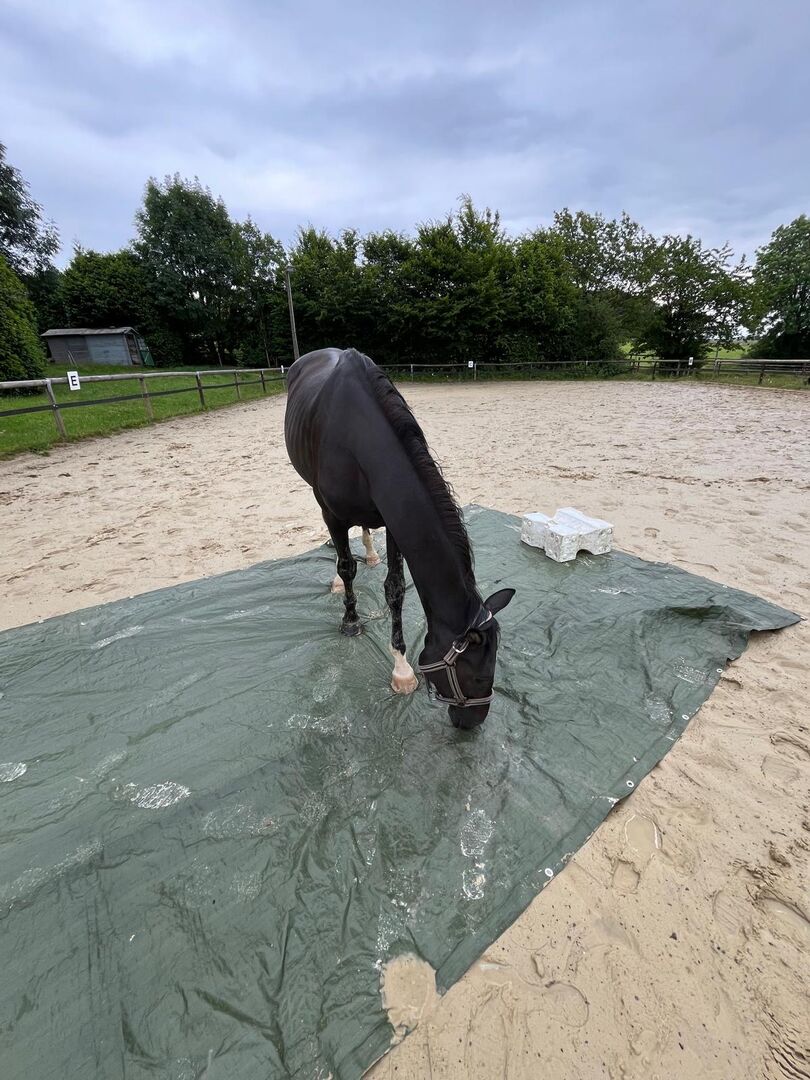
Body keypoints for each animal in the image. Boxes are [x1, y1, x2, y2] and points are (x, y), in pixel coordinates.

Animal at [284, 347, 514, 729]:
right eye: (479, 676)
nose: (472, 722)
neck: (357, 437)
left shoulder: (390, 521)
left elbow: (394, 588)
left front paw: (402, 669)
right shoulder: (332, 514)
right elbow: (346, 567)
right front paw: (351, 621)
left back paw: (370, 553)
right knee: (341, 556)